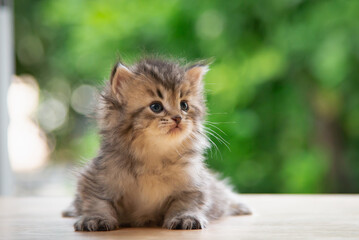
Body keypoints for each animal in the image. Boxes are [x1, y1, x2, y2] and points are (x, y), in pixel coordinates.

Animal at [63, 57, 252, 231]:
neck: (153, 157)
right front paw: (96, 218)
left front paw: (185, 217)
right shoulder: (94, 177)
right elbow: (96, 201)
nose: (178, 118)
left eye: (184, 105)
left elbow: (187, 201)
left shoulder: (195, 182)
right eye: (156, 107)